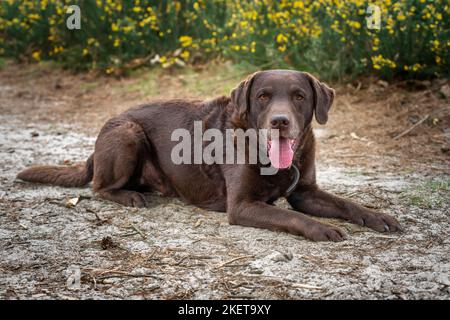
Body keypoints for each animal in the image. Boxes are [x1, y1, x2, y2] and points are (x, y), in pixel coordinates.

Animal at [17, 69, 400, 240]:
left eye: (299, 96)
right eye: (262, 96)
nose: (280, 121)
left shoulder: (306, 193)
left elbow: (346, 204)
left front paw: (378, 216)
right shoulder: (242, 205)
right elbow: (292, 217)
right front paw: (321, 228)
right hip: (127, 134)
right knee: (99, 187)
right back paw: (130, 196)